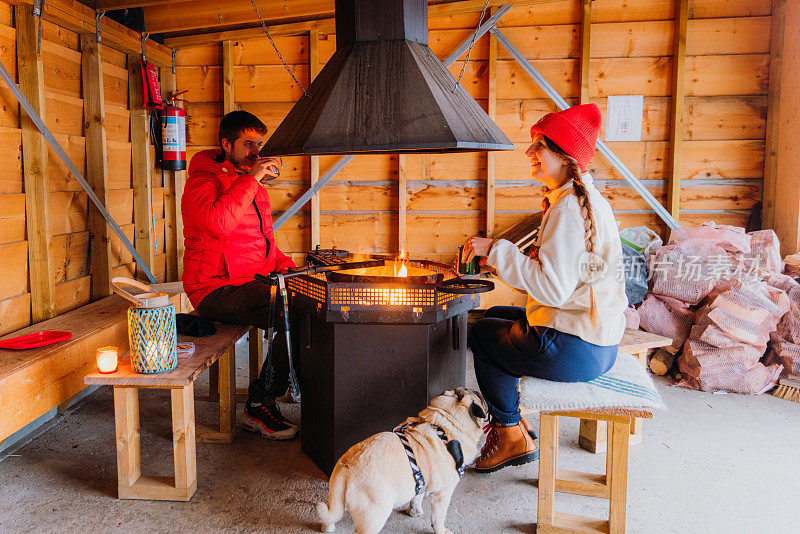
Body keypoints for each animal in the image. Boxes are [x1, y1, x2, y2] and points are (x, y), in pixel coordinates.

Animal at [316, 390, 484, 534]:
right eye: (480, 397)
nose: (481, 394)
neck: (443, 426)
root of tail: (347, 467)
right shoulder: (443, 493)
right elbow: (438, 518)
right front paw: (441, 530)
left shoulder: (420, 478)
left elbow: (417, 496)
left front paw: (414, 511)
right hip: (374, 515)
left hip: (336, 498)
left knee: (331, 515)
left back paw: (327, 527)